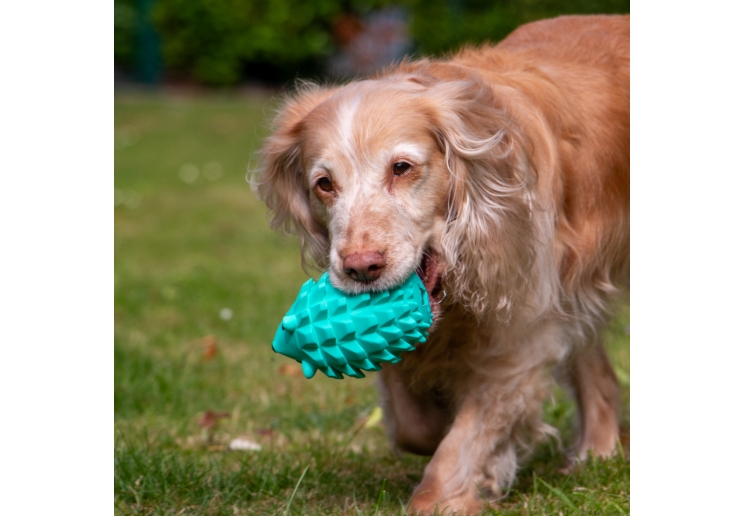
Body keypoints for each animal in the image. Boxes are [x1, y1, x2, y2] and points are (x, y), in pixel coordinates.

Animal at [256, 14, 628, 512]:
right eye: (324, 183)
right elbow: (412, 424)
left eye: (401, 167)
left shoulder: (523, 338)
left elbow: (463, 442)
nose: (361, 268)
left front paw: (450, 491)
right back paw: (595, 453)